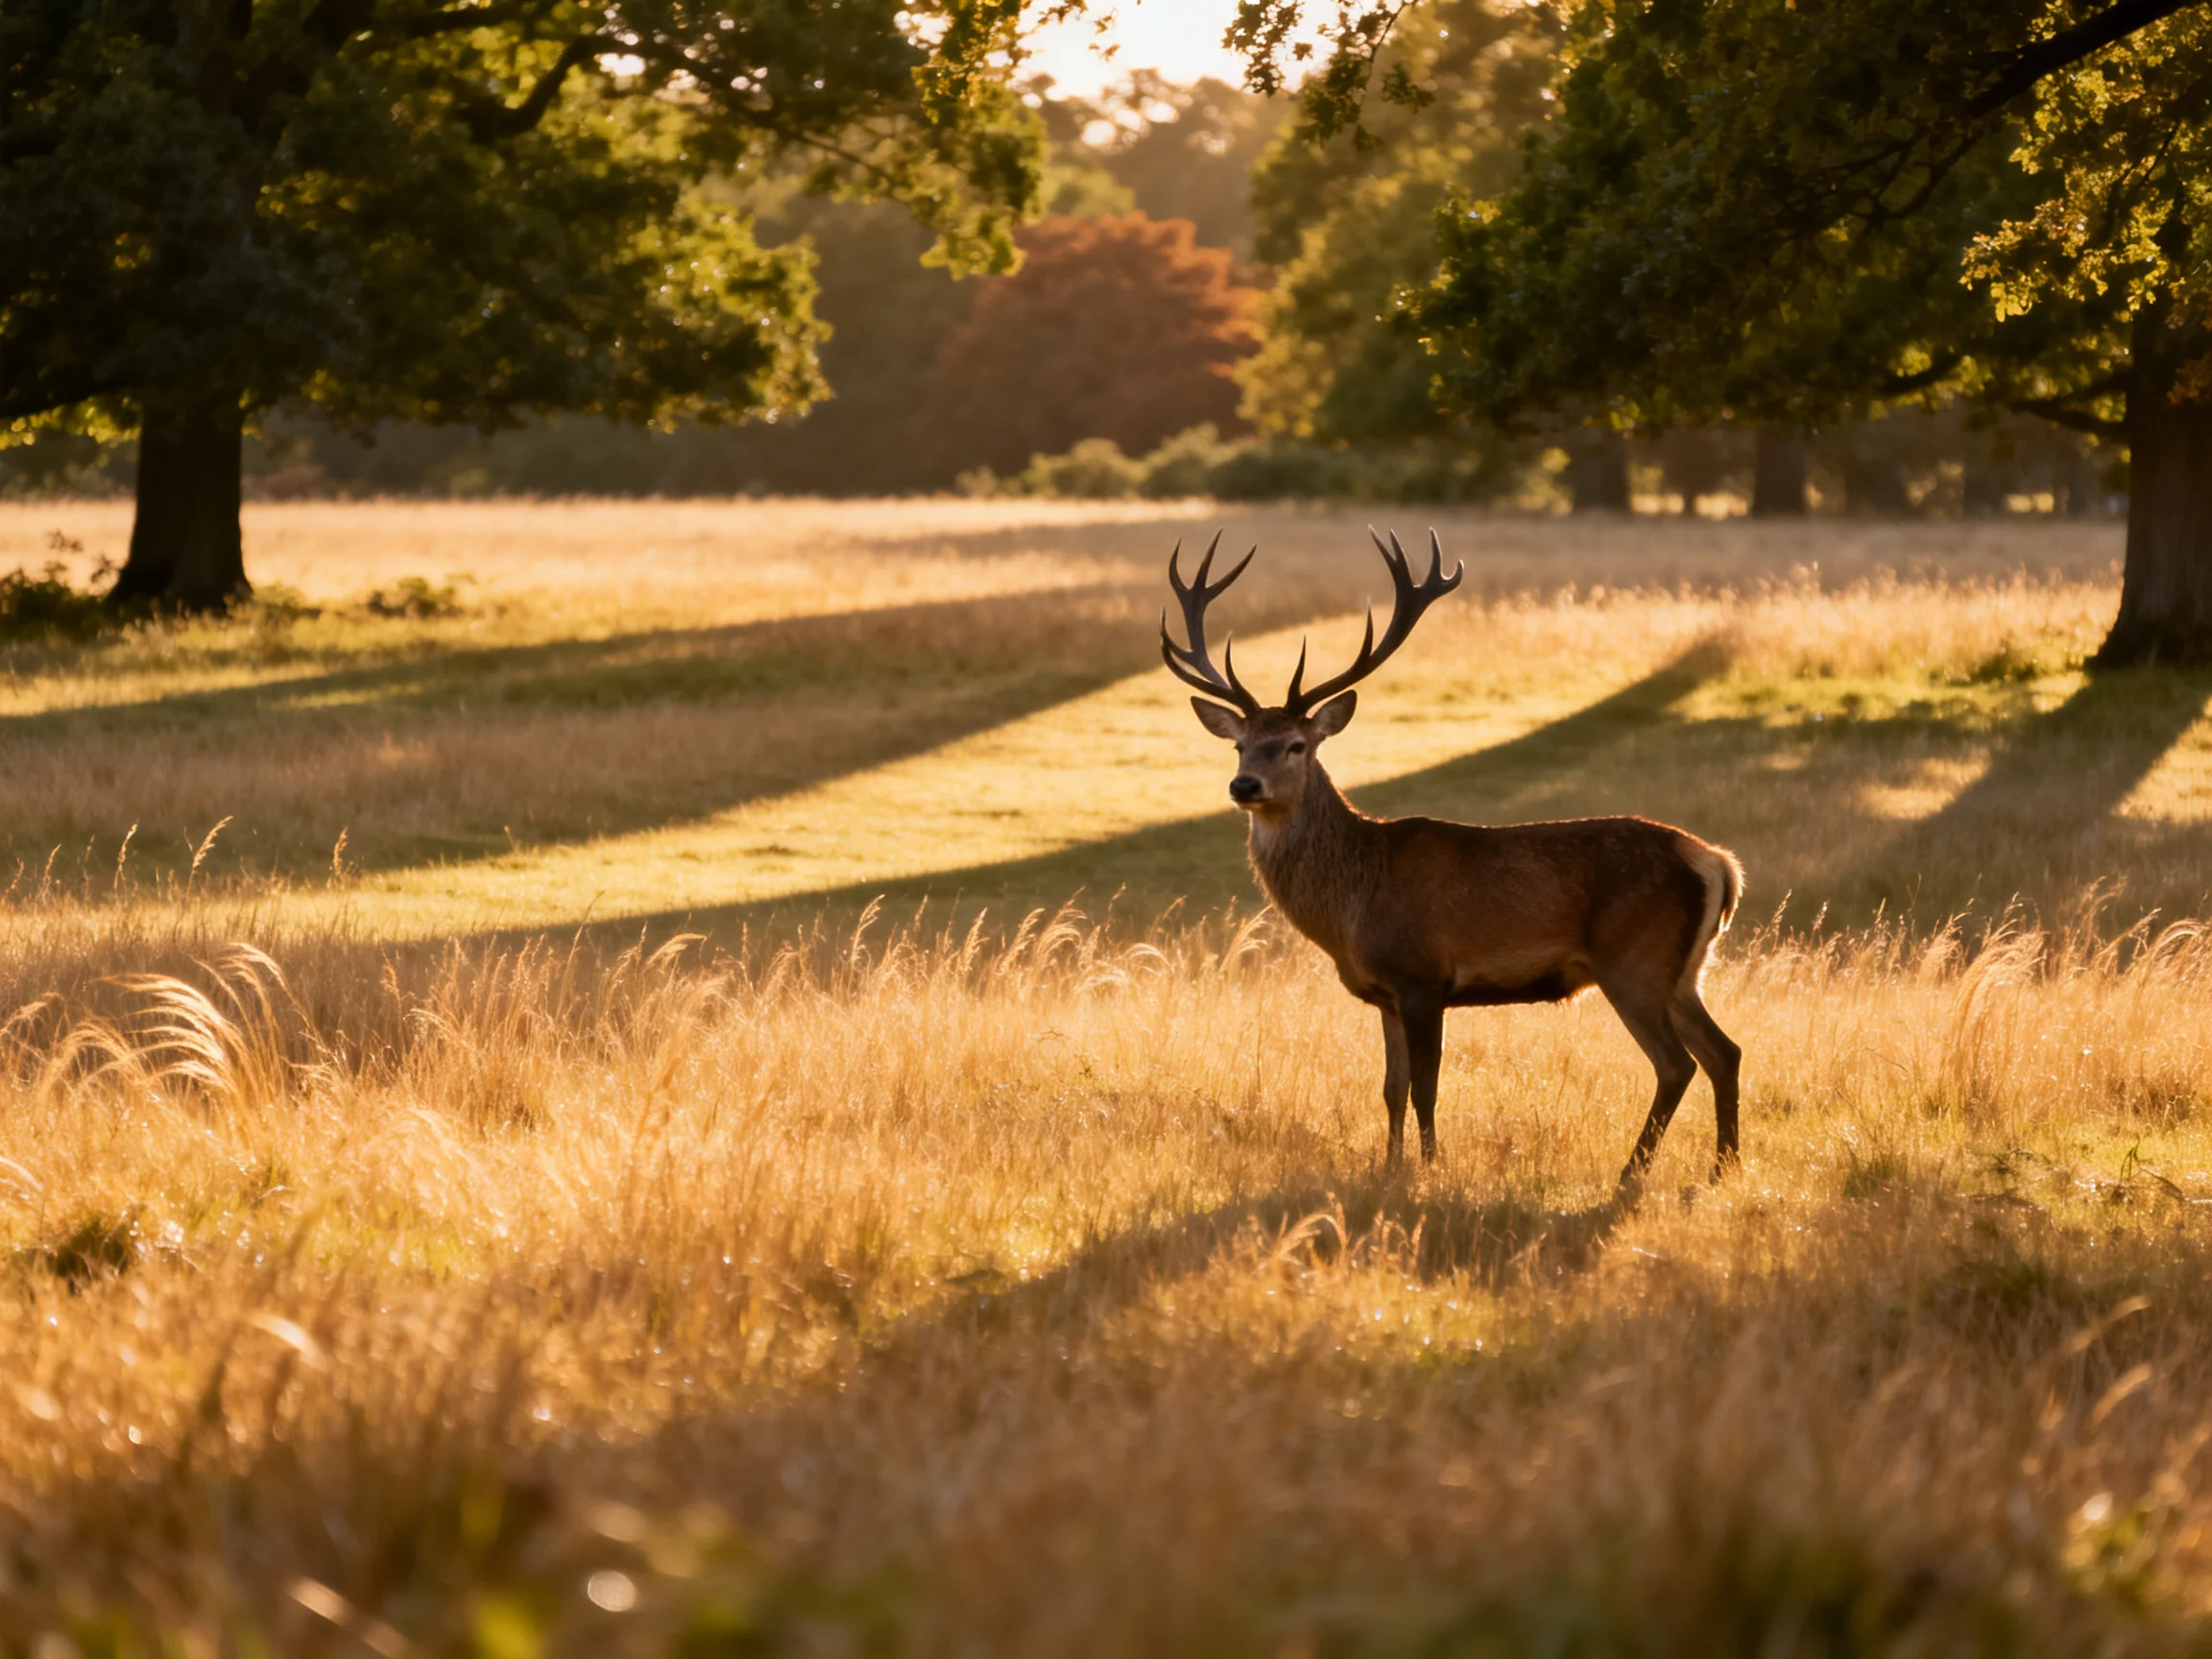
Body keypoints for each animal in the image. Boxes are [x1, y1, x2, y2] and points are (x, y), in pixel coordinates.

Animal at [1163, 528, 1744, 1188]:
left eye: (1295, 745)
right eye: (1239, 745)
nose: (1245, 786)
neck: (1353, 905)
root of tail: (1719, 864)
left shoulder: (1423, 975)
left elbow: (1426, 1088)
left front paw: (1431, 1167)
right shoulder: (1384, 993)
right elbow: (1390, 1088)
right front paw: (1390, 1167)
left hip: (1634, 961)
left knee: (1677, 1064)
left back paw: (1632, 1173)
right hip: (1685, 970)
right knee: (1725, 1051)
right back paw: (1724, 1168)